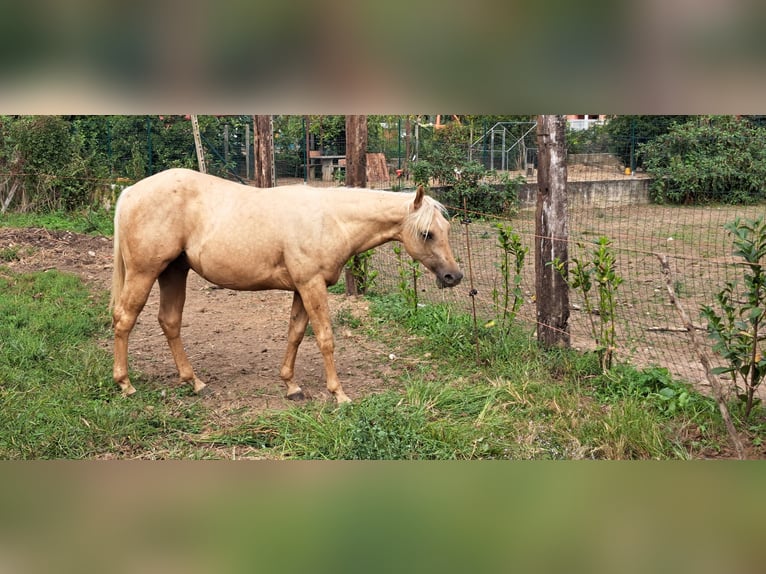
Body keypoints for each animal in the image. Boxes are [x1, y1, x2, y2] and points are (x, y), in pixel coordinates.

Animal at [111, 169, 464, 408]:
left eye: (446, 229)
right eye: (427, 233)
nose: (454, 276)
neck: (331, 219)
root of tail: (130, 192)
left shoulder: (302, 288)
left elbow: (295, 333)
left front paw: (291, 386)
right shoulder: (311, 285)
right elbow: (324, 338)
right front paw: (339, 394)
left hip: (174, 271)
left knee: (169, 321)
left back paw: (195, 382)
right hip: (145, 273)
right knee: (124, 320)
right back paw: (125, 384)